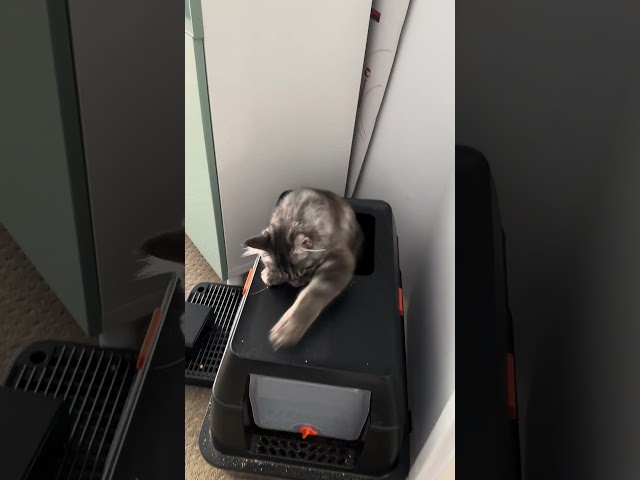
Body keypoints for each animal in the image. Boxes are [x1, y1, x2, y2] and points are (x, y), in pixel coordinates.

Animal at [242, 188, 362, 348]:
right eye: (283, 276)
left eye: (304, 270)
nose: (295, 284)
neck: (291, 218)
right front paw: (268, 274)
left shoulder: (341, 258)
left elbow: (312, 296)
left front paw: (288, 329)